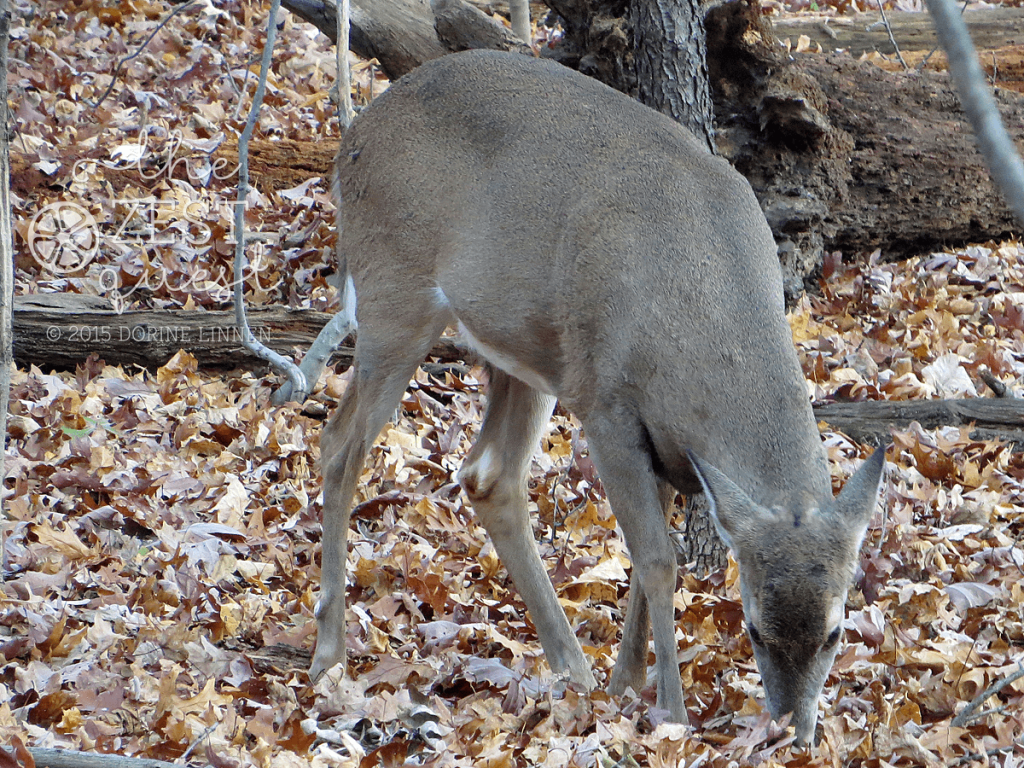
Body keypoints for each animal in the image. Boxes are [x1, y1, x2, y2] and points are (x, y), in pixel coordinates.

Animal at [305, 48, 888, 745]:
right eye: (753, 627)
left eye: (834, 633)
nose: (793, 734)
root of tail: (351, 140)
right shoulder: (609, 406)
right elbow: (658, 559)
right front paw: (671, 711)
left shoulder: (668, 448)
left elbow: (650, 556)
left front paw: (625, 684)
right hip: (396, 294)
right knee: (341, 447)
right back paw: (329, 653)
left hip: (526, 352)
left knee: (487, 474)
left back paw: (572, 667)